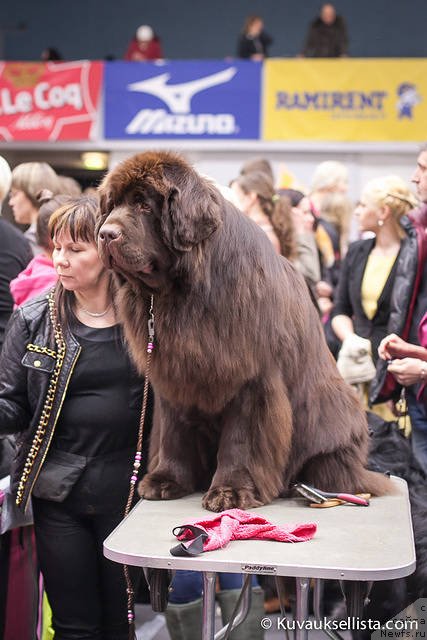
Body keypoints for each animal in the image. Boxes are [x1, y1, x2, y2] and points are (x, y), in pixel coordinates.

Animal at [97, 150, 392, 510]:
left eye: (143, 204)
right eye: (111, 205)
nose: (105, 233)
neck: (183, 294)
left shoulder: (253, 380)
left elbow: (241, 440)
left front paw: (231, 491)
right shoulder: (174, 374)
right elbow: (173, 432)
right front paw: (167, 479)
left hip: (334, 415)